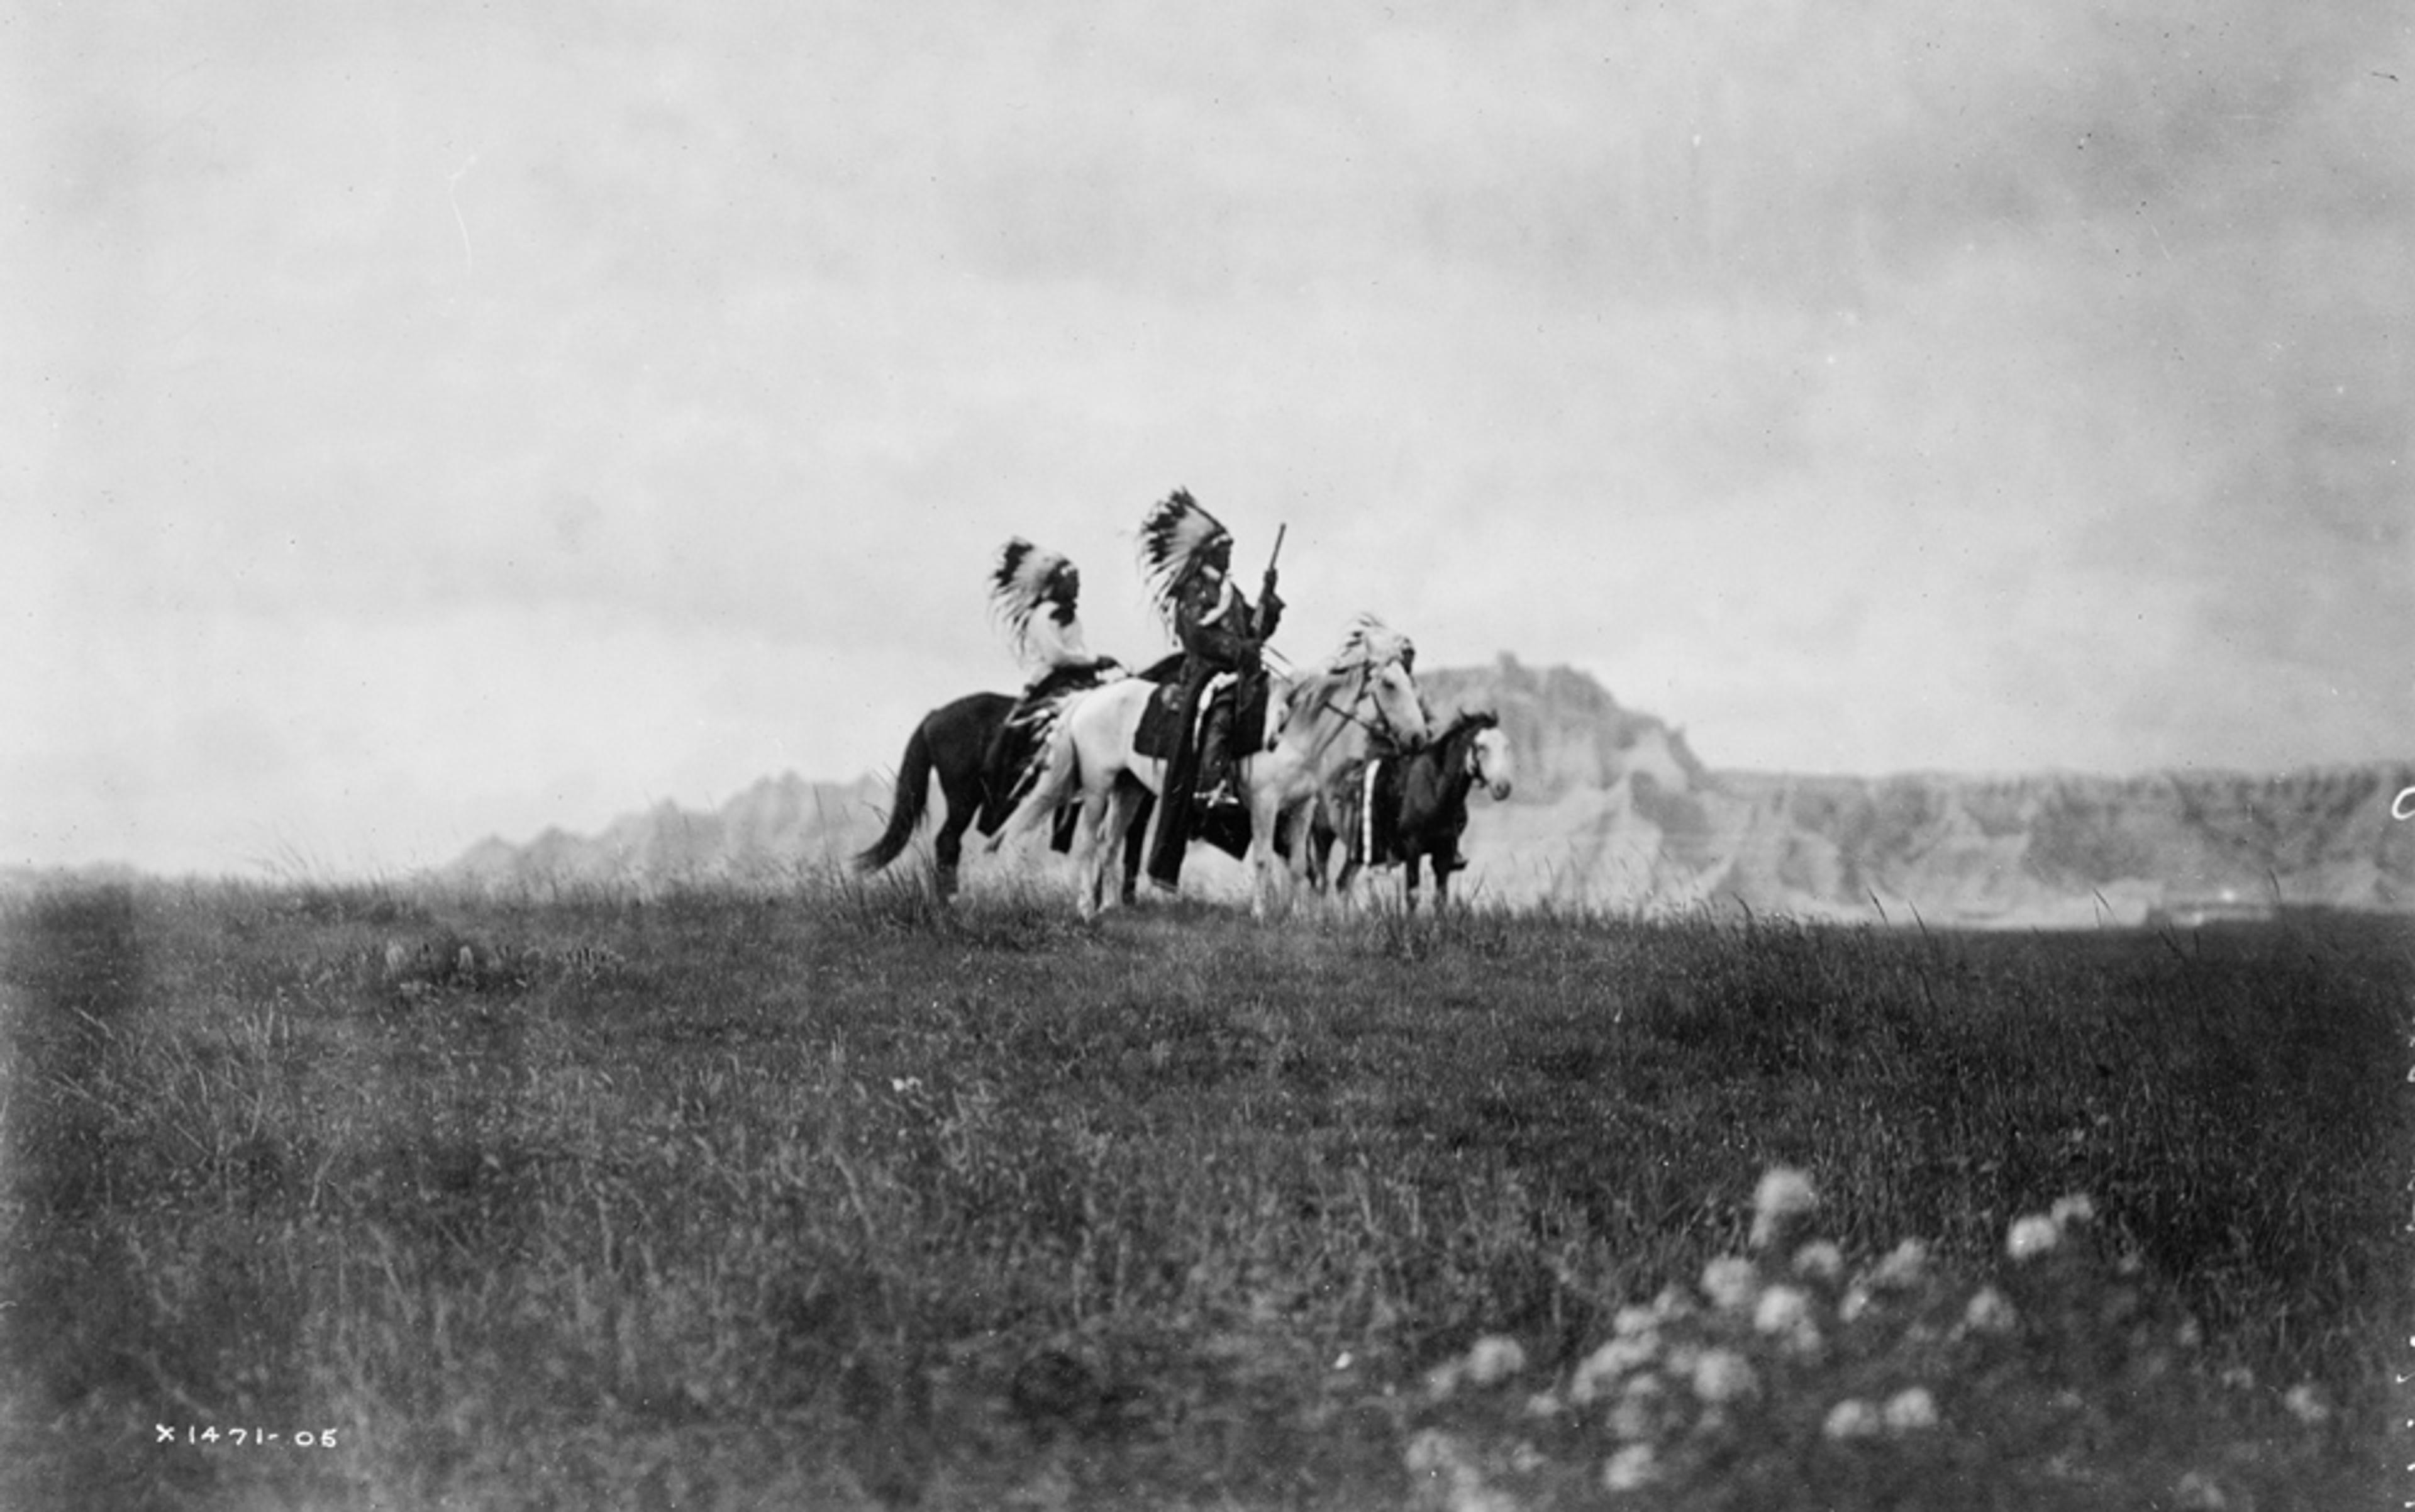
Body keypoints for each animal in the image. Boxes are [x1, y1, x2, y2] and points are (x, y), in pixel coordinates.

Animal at [985, 616, 1419, 918]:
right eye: (1390, 685)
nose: (1418, 737)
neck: (1294, 728)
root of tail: (1090, 698)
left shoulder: (1302, 807)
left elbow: (1299, 866)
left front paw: (1298, 918)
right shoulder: (1265, 804)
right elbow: (1264, 858)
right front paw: (1261, 914)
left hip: (1128, 788)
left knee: (1109, 843)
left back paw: (1110, 908)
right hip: (1096, 787)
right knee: (1088, 844)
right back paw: (1084, 911)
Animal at [1313, 705, 1516, 908]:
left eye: (1507, 746)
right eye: (1481, 747)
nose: (1503, 787)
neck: (1435, 790)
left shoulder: (1444, 852)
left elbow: (1441, 897)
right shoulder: (1413, 848)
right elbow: (1413, 895)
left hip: (1355, 856)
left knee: (1343, 884)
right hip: (1325, 839)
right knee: (1324, 882)